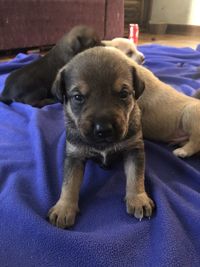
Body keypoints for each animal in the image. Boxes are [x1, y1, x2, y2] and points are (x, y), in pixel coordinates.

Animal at [48, 46, 155, 230]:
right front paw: (64, 208)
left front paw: (138, 198)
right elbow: (69, 183)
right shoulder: (75, 156)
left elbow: (136, 176)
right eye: (78, 97)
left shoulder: (134, 149)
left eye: (123, 94)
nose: (103, 130)